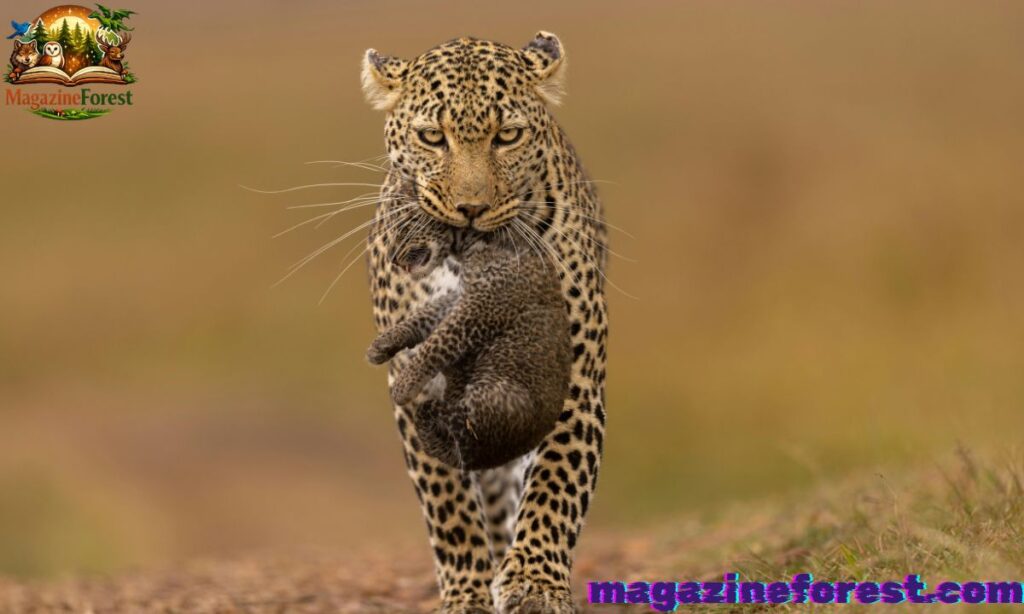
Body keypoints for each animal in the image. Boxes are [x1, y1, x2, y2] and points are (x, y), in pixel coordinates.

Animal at [366, 212, 572, 472]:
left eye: (406, 227)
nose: (391, 258)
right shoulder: (462, 298)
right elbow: (425, 315)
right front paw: (383, 345)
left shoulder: (479, 307)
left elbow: (438, 342)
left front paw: (404, 385)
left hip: (497, 394)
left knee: (452, 418)